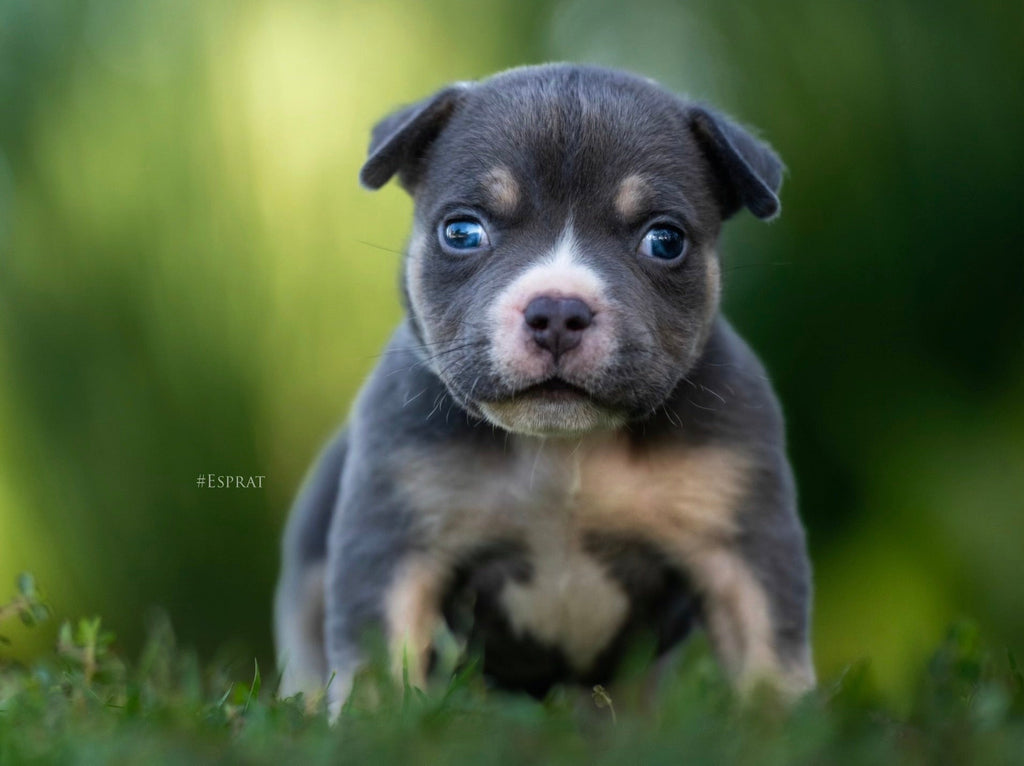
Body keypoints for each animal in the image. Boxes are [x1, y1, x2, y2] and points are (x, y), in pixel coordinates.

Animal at [272, 62, 815, 716]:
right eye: (462, 231)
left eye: (665, 240)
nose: (557, 310)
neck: (564, 450)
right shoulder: (394, 546)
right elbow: (379, 661)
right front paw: (377, 724)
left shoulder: (743, 550)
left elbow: (769, 654)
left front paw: (783, 725)